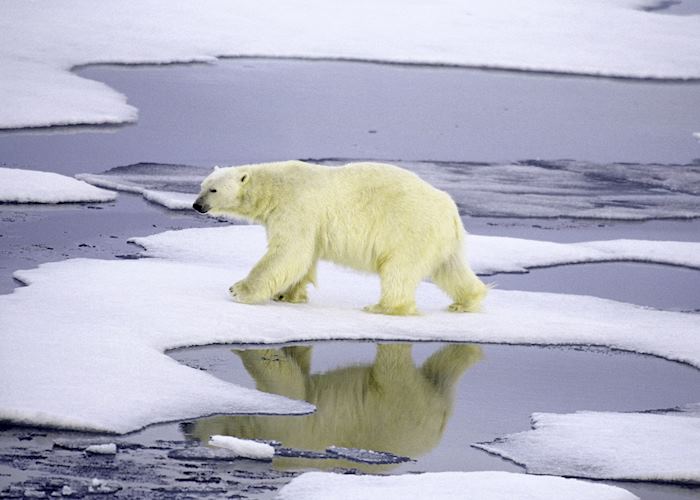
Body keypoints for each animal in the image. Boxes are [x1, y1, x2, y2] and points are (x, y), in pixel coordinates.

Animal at [191, 162, 486, 314]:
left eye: (213, 189)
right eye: (202, 185)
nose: (196, 205)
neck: (274, 187)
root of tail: (451, 210)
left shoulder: (296, 206)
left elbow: (289, 252)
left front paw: (239, 290)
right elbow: (303, 258)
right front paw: (289, 295)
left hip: (410, 230)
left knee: (398, 270)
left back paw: (382, 307)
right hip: (441, 240)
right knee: (451, 269)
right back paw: (466, 301)